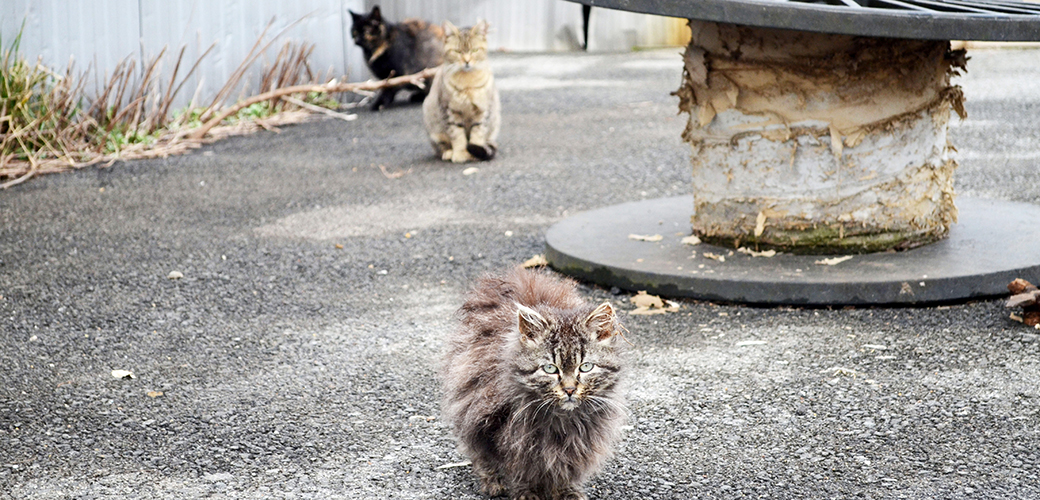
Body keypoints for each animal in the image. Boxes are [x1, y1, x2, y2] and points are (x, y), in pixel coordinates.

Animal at [424, 20, 501, 163]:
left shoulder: (483, 110)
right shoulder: (450, 111)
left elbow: (478, 133)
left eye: (474, 50)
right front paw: (460, 153)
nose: (466, 61)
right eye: (457, 51)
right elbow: (457, 135)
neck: (467, 83)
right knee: (440, 148)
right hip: (432, 125)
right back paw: (448, 152)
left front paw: (474, 151)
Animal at [438, 268, 624, 498]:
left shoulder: (578, 441)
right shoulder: (506, 431)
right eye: (550, 369)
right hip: (471, 404)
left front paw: (566, 490)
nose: (570, 390)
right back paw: (493, 483)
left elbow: (565, 467)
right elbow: (517, 467)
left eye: (586, 367)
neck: (562, 420)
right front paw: (525, 492)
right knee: (479, 451)